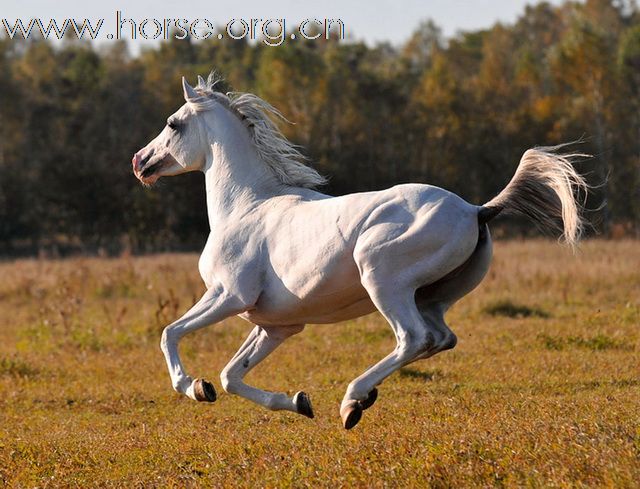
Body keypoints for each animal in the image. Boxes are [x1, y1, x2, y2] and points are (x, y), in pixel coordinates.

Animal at [132, 72, 588, 428]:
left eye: (173, 124)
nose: (140, 162)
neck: (246, 205)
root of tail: (477, 209)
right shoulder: (276, 325)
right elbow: (231, 376)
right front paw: (297, 402)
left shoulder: (228, 295)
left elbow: (170, 333)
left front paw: (193, 387)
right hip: (432, 296)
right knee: (441, 338)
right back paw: (363, 397)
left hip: (382, 281)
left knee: (414, 337)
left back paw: (352, 402)